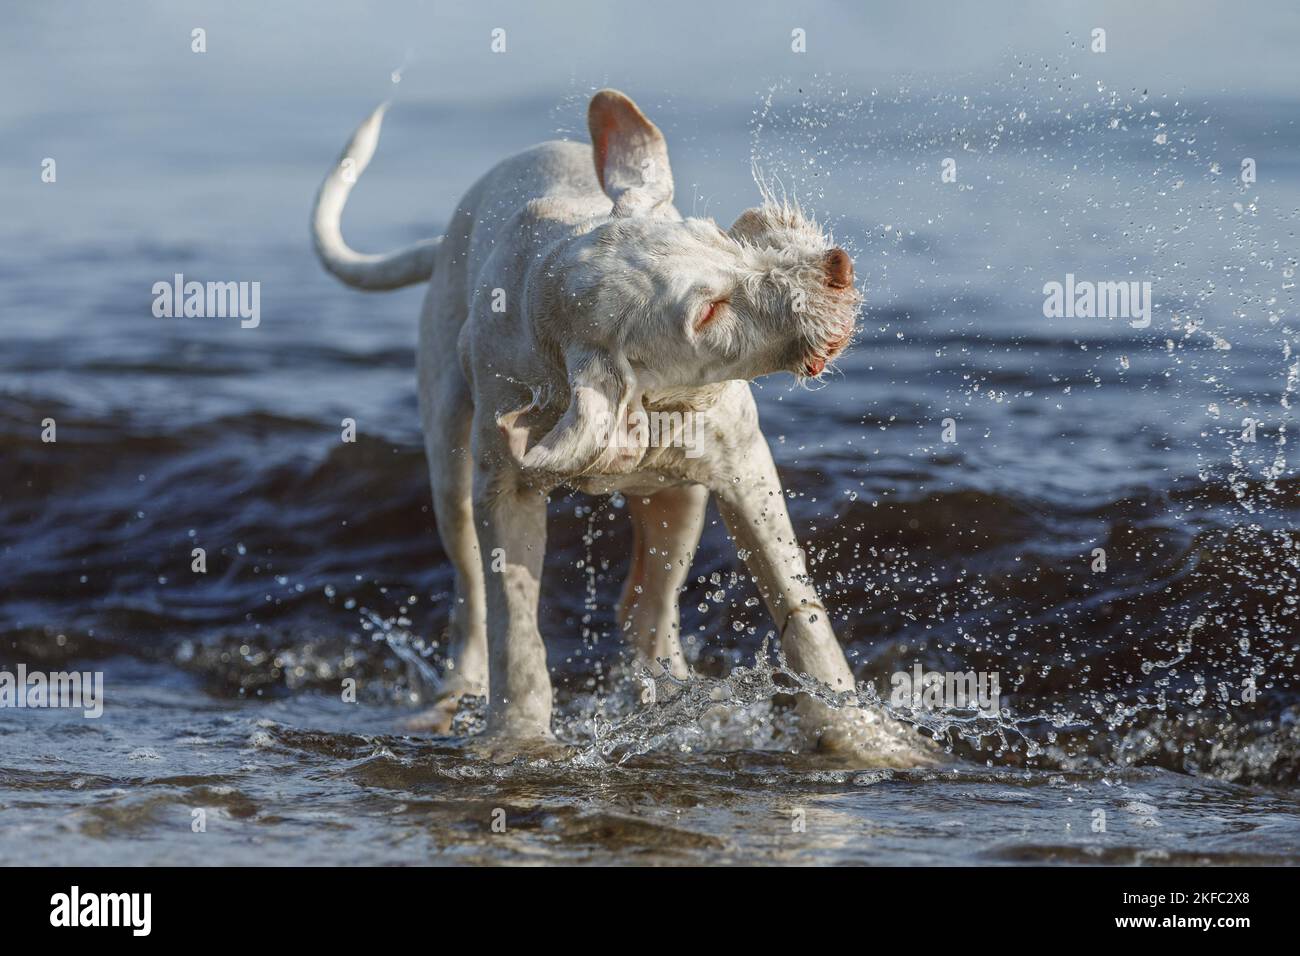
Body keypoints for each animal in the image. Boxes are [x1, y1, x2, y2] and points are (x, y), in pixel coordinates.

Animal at [312, 89, 925, 764]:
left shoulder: (744, 462)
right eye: (707, 313)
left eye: (715, 234)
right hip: (449, 458)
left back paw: (686, 701)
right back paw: (456, 698)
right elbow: (514, 628)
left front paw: (864, 738)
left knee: (643, 606)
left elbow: (798, 603)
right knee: (472, 595)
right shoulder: (504, 485)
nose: (835, 270)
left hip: (679, 494)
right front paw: (518, 738)